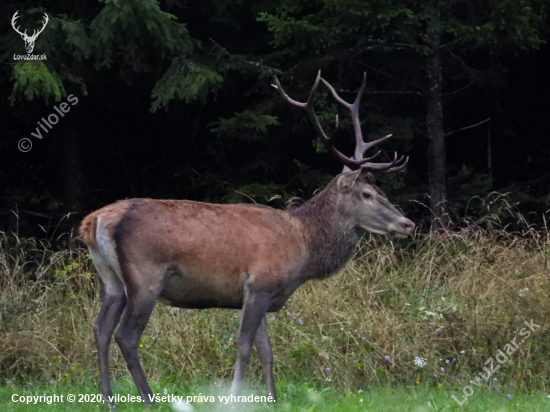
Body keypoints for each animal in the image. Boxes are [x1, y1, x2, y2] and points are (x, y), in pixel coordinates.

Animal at [77, 71, 414, 406]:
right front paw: (234, 398)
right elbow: (244, 348)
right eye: (367, 193)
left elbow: (266, 351)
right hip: (146, 275)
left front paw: (273, 400)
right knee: (126, 336)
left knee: (100, 328)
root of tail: (95, 221)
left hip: (111, 280)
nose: (407, 224)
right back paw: (149, 400)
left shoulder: (261, 292)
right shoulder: (259, 284)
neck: (303, 246)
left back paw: (107, 400)